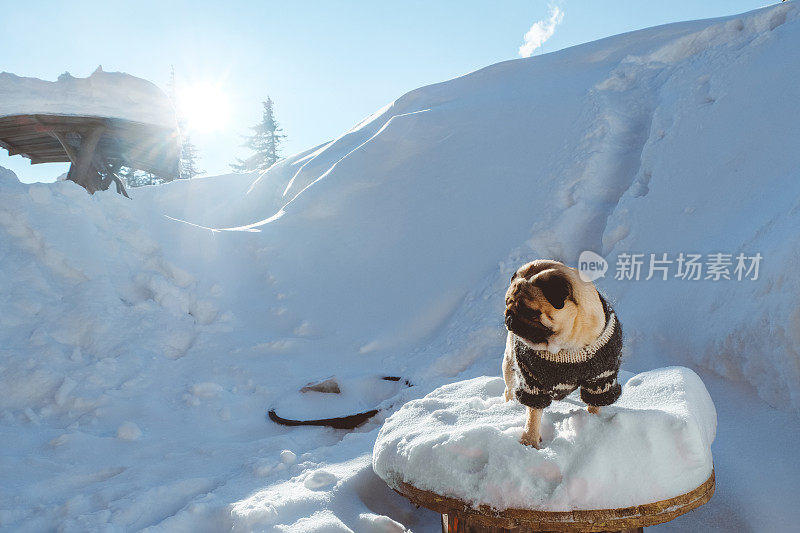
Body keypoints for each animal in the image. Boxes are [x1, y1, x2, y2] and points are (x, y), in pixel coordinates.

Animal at [500, 260, 624, 446]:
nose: (509, 317)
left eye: (530, 312)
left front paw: (593, 423)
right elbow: (533, 416)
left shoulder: (601, 377)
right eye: (507, 303)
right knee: (509, 389)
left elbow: (595, 403)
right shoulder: (532, 383)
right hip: (509, 364)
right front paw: (529, 442)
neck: (567, 346)